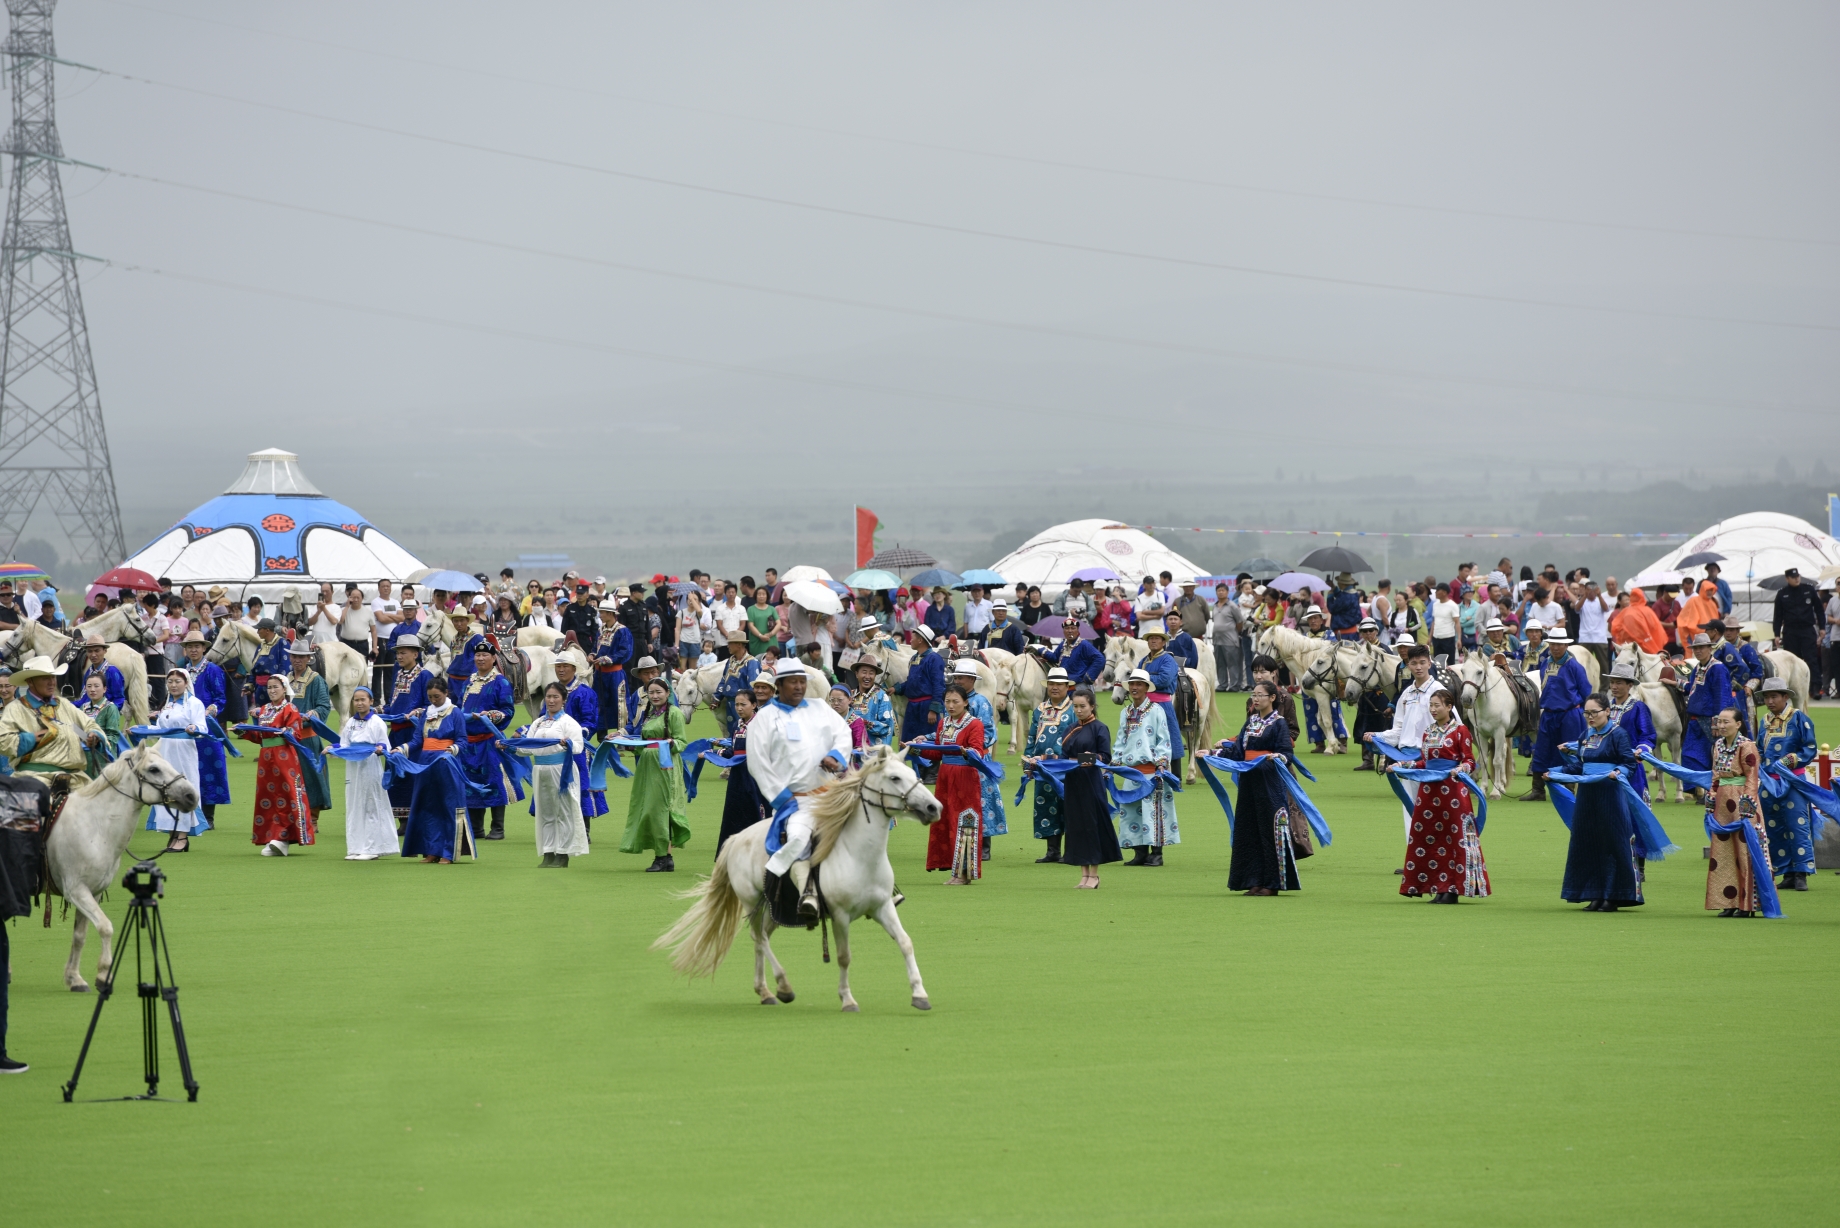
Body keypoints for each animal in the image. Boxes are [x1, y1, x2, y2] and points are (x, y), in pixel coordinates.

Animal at [46, 740, 201, 986]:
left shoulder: (93, 891)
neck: (94, 826)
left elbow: (80, 935)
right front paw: (104, 973)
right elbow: (105, 927)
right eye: (154, 769)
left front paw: (74, 978)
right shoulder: (76, 890)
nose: (191, 796)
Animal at [655, 743, 942, 1016]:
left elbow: (905, 943)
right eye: (895, 777)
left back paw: (765, 992)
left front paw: (920, 995)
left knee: (762, 939)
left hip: (775, 909)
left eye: (913, 775)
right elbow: (844, 956)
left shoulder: (883, 908)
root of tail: (736, 838)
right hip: (751, 901)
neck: (858, 855)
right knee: (758, 937)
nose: (934, 807)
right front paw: (848, 1000)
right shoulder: (840, 915)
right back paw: (783, 987)